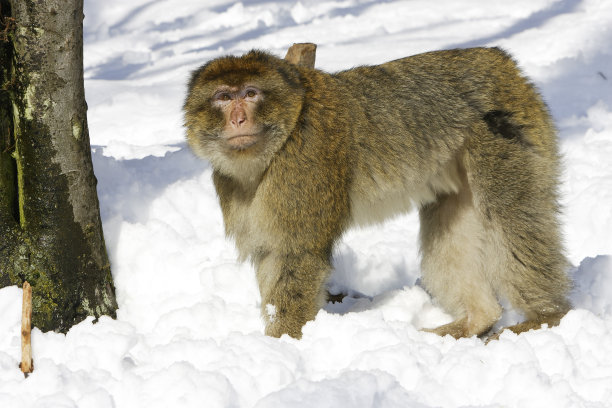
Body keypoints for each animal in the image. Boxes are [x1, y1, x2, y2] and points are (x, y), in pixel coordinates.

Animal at [184, 47, 572, 340]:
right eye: (223, 97)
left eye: (250, 93)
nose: (237, 120)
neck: (280, 138)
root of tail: (501, 61)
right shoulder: (233, 186)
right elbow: (270, 253)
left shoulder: (302, 169)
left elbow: (298, 254)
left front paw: (282, 344)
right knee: (450, 229)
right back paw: (475, 320)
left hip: (504, 138)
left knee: (512, 220)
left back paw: (545, 316)